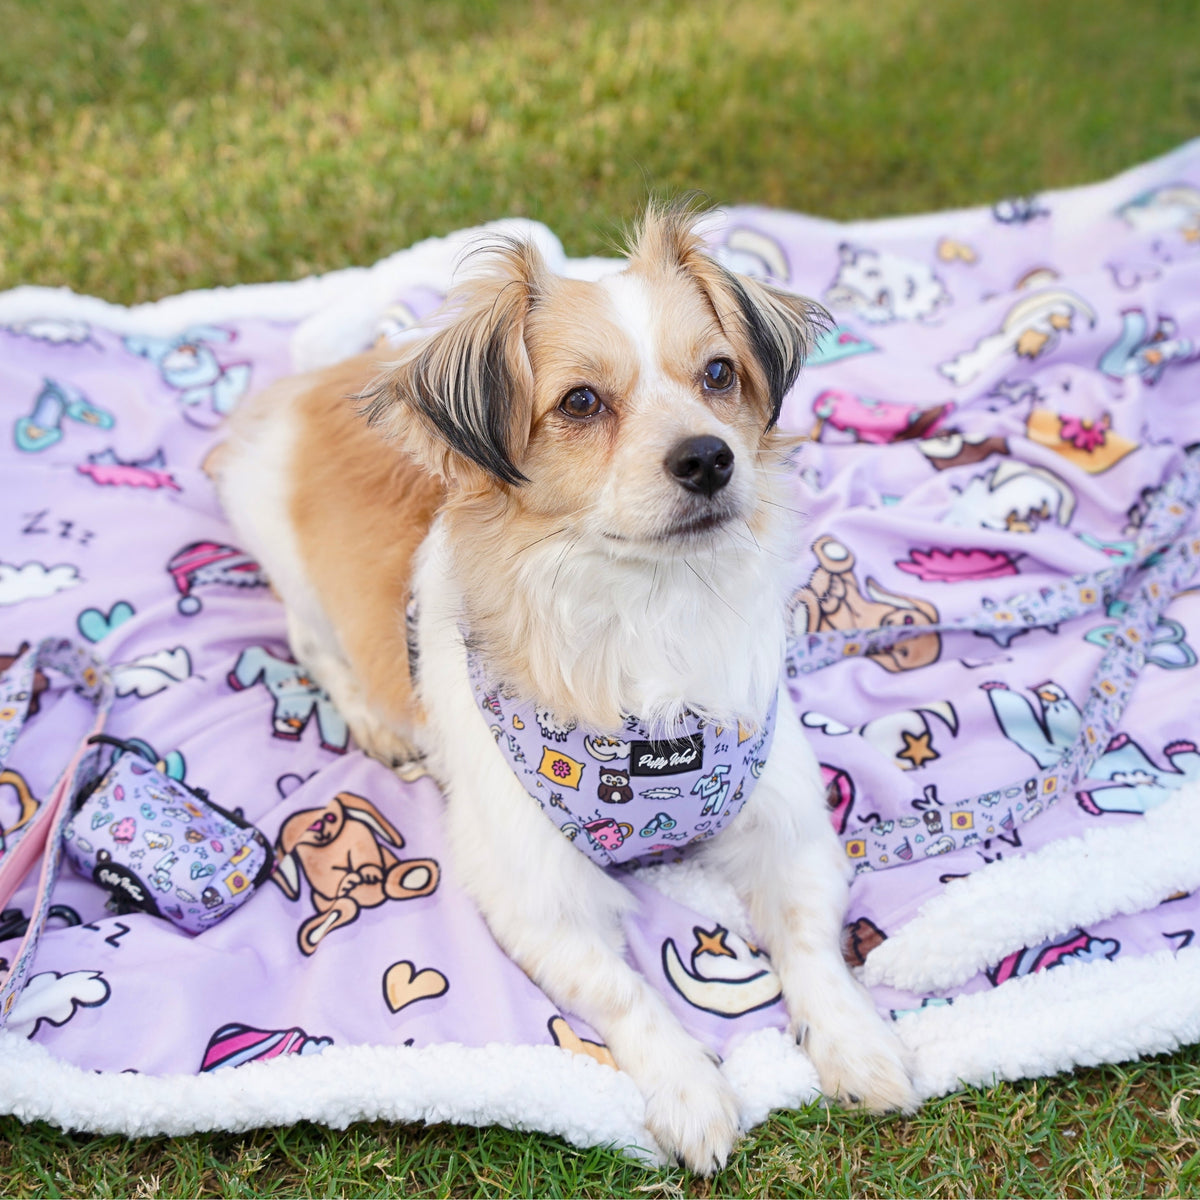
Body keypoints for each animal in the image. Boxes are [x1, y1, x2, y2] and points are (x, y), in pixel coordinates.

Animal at [213, 202, 916, 1171]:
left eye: (719, 374)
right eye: (581, 402)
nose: (709, 459)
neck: (648, 611)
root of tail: (326, 375)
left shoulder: (792, 828)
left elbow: (812, 948)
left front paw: (856, 1043)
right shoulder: (534, 897)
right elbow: (625, 993)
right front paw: (691, 1091)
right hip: (285, 559)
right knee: (310, 644)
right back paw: (376, 722)